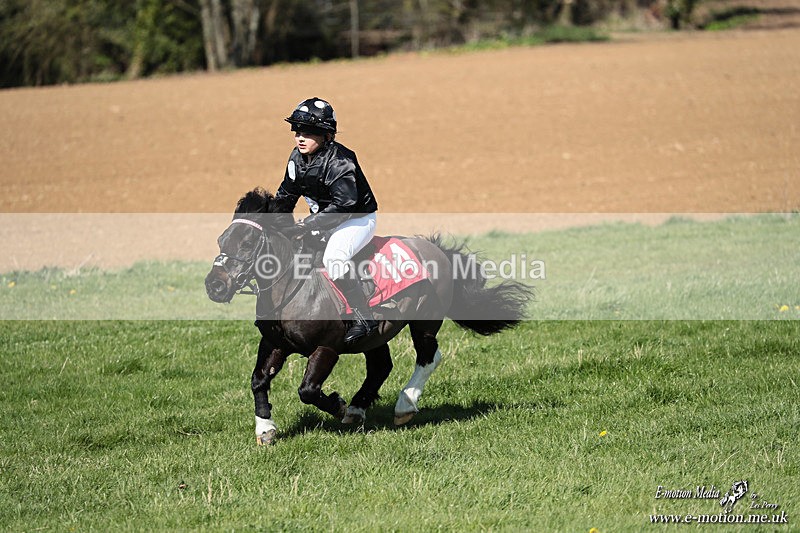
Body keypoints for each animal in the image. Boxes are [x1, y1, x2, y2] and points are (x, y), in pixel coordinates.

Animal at [205, 187, 533, 445]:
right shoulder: (275, 344)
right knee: (381, 366)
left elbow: (308, 390)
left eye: (248, 242)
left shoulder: (327, 347)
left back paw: (403, 406)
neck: (293, 286)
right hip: (377, 333)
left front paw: (337, 404)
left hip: (424, 321)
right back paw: (358, 408)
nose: (215, 286)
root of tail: (435, 249)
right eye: (221, 240)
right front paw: (265, 429)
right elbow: (258, 380)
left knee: (428, 356)